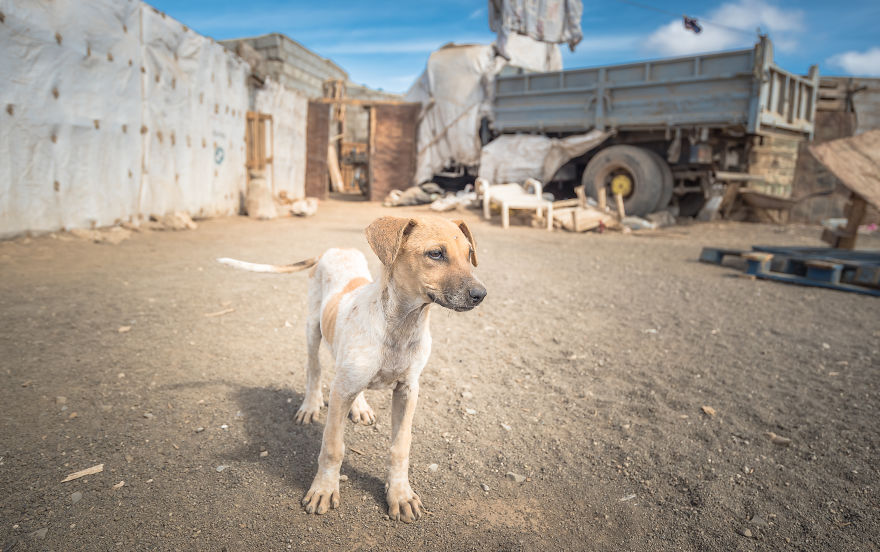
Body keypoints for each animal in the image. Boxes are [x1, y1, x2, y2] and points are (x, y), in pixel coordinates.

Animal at [216, 215, 484, 520]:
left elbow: (400, 447)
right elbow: (333, 446)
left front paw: (400, 494)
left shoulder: (408, 390)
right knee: (314, 369)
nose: (481, 294)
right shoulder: (340, 392)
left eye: (469, 254)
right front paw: (324, 489)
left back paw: (360, 406)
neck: (401, 327)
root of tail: (333, 250)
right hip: (312, 329)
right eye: (436, 253)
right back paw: (310, 405)